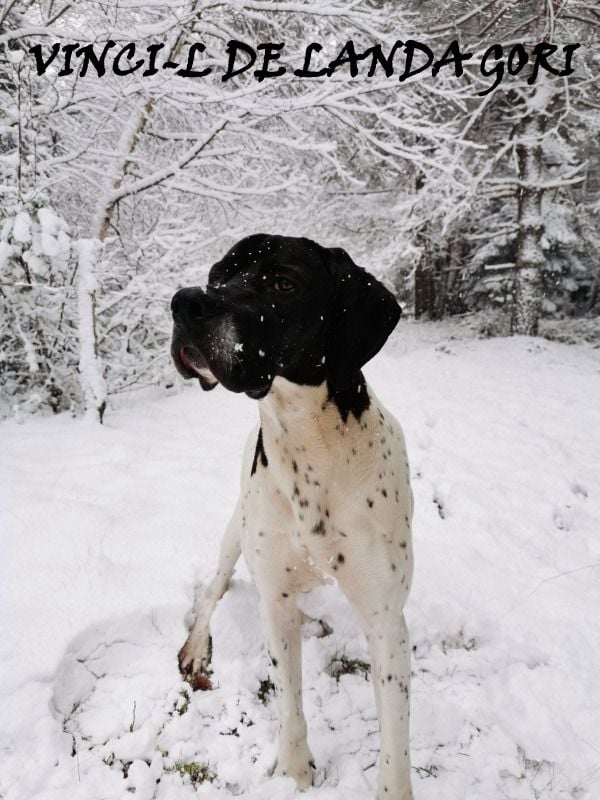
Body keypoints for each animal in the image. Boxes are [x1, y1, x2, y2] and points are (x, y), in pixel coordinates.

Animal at [169, 233, 412, 800]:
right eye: (217, 276)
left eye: (283, 283)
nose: (184, 303)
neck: (309, 443)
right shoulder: (275, 599)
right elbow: (289, 706)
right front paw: (296, 772)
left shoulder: (387, 620)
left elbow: (394, 744)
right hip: (234, 535)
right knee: (212, 590)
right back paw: (196, 648)